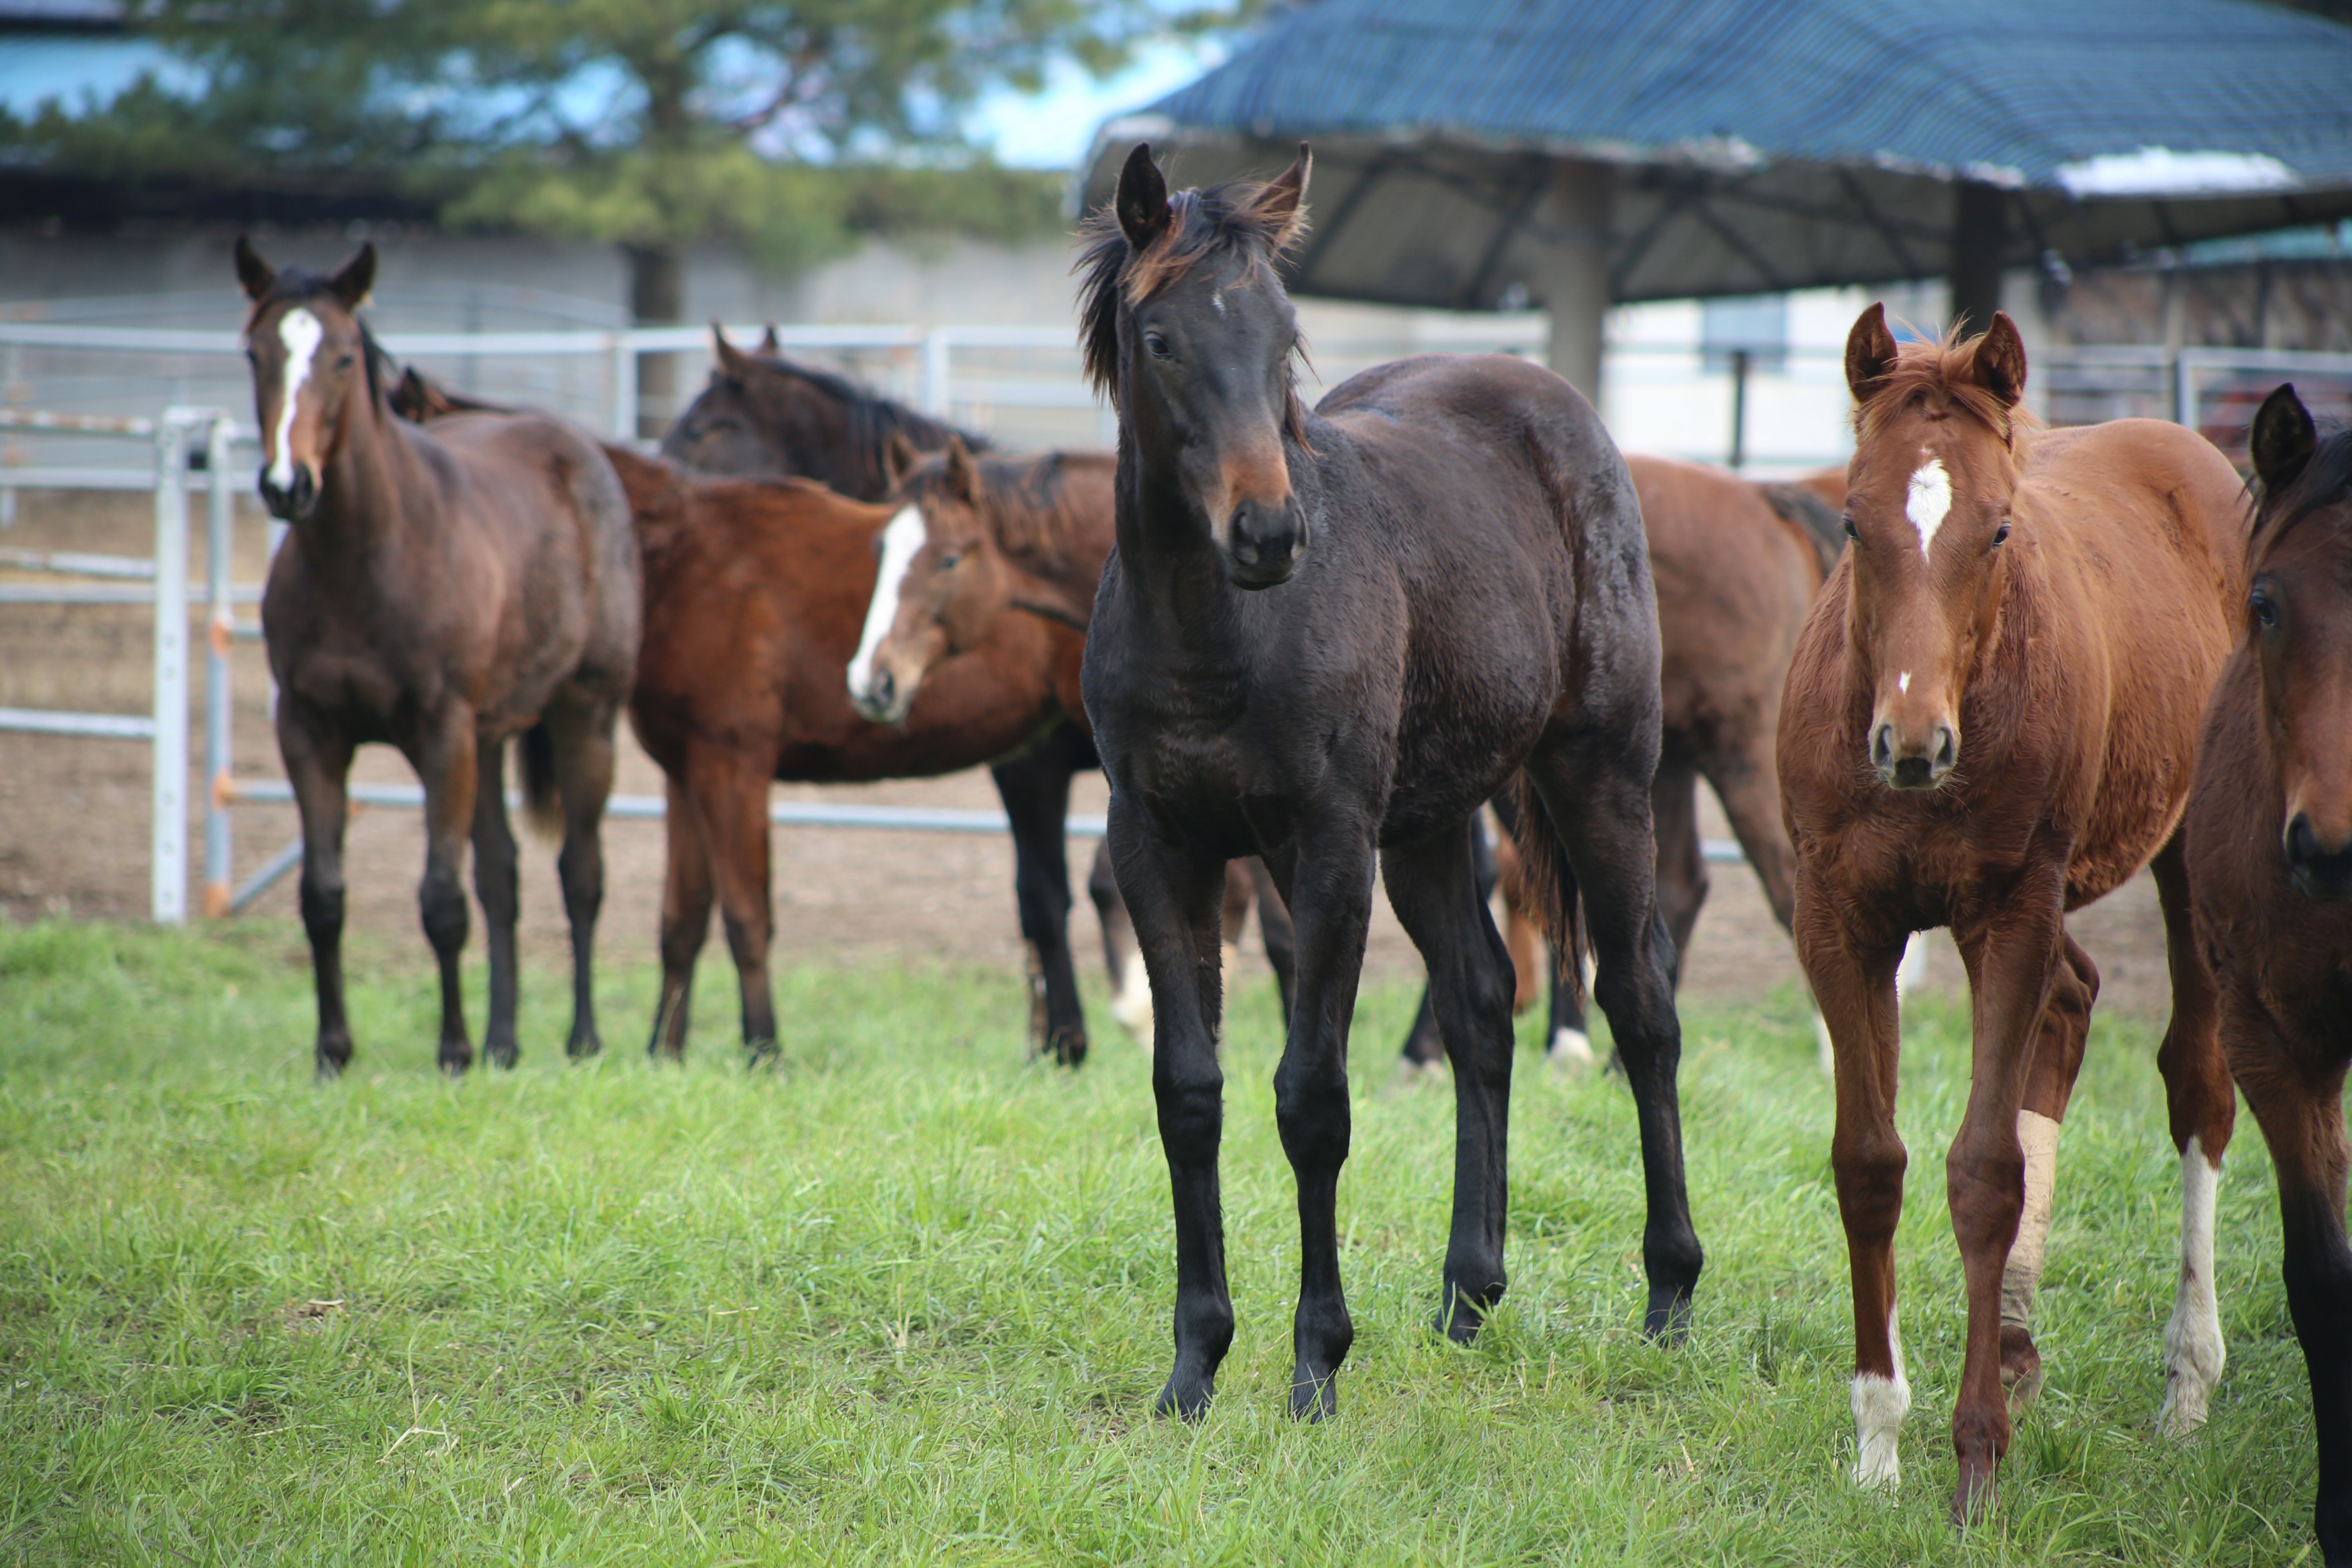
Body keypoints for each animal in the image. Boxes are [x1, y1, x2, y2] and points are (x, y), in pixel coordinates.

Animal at [238, 240, 644, 1081]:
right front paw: (334, 1052)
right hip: (486, 742)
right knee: (503, 877)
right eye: (254, 352)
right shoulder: (308, 732)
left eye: (343, 356)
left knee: (580, 875)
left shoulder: (440, 734)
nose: (289, 485)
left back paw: (580, 1040)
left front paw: (452, 1051)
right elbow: (323, 897)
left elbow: (441, 901)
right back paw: (504, 1043)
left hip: (583, 716)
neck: (365, 561)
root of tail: (580, 450)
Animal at [1077, 150, 1703, 1420]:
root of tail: (1557, 403)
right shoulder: (1155, 844)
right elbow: (1188, 1093)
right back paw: (1468, 1296)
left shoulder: (1324, 847)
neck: (1215, 635)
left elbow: (1311, 1100)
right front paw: (1193, 1367)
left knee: (1639, 1004)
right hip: (1427, 825)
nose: (1269, 532)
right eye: (1160, 338)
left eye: (1282, 337)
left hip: (1598, 773)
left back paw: (1667, 1294)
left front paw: (1315, 1365)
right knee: (1479, 1007)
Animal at [1778, 303, 2239, 1523]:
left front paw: (1974, 1457)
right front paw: (1877, 1444)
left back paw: (2186, 1385)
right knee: (2074, 1001)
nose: (1911, 743)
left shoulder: (2009, 914)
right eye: (1852, 521)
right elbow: (1868, 1162)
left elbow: (1985, 1171)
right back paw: (2023, 1344)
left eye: (1994, 530)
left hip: (2186, 862)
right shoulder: (1837, 919)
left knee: (2196, 1083)